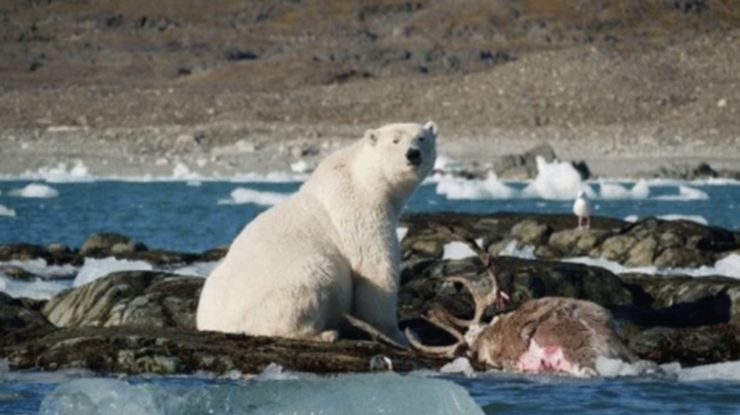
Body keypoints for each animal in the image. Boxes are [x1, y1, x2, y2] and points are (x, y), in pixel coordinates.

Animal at [199, 122, 436, 342]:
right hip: (287, 286)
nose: (413, 154)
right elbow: (375, 266)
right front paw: (397, 334)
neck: (363, 177)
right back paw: (324, 333)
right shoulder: (359, 210)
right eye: (395, 140)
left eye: (421, 138)